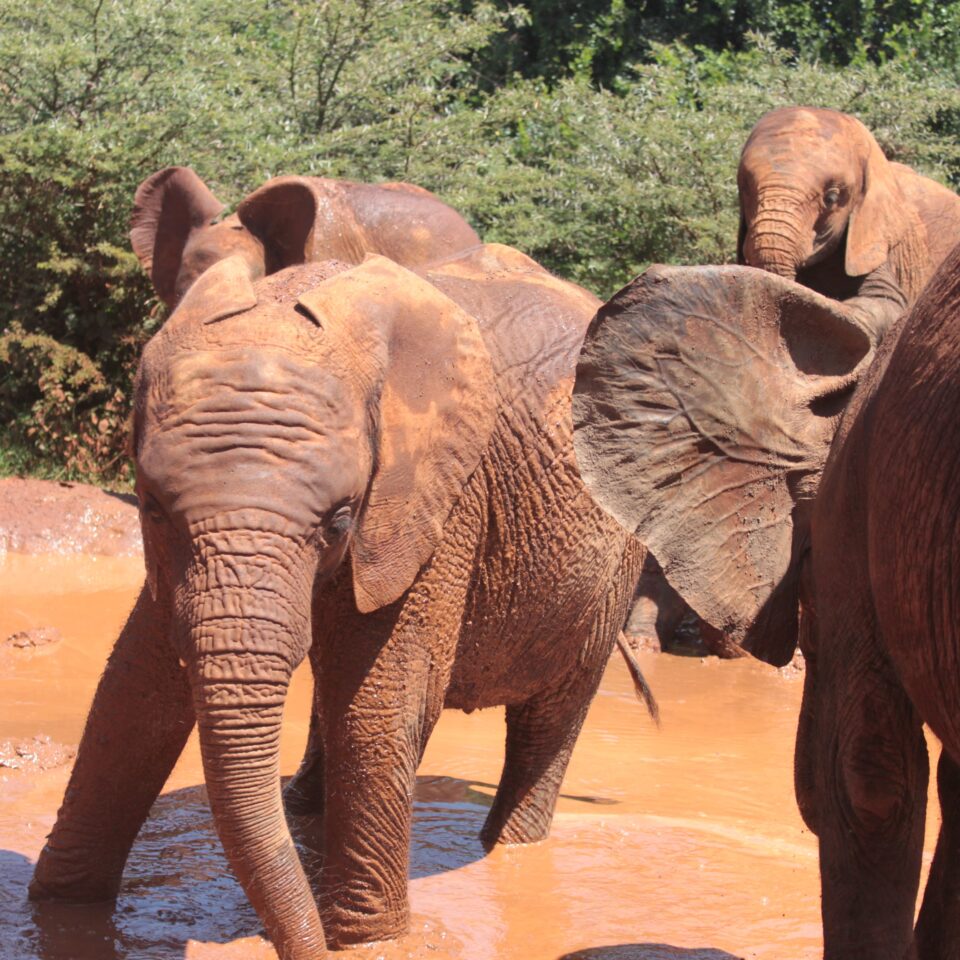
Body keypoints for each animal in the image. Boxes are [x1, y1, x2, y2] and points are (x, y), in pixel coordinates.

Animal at [31, 244, 660, 956]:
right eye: (152, 506)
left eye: (337, 519)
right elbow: (135, 690)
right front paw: (59, 908)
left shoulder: (440, 498)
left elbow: (382, 700)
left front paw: (368, 942)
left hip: (617, 553)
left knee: (552, 713)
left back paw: (510, 847)